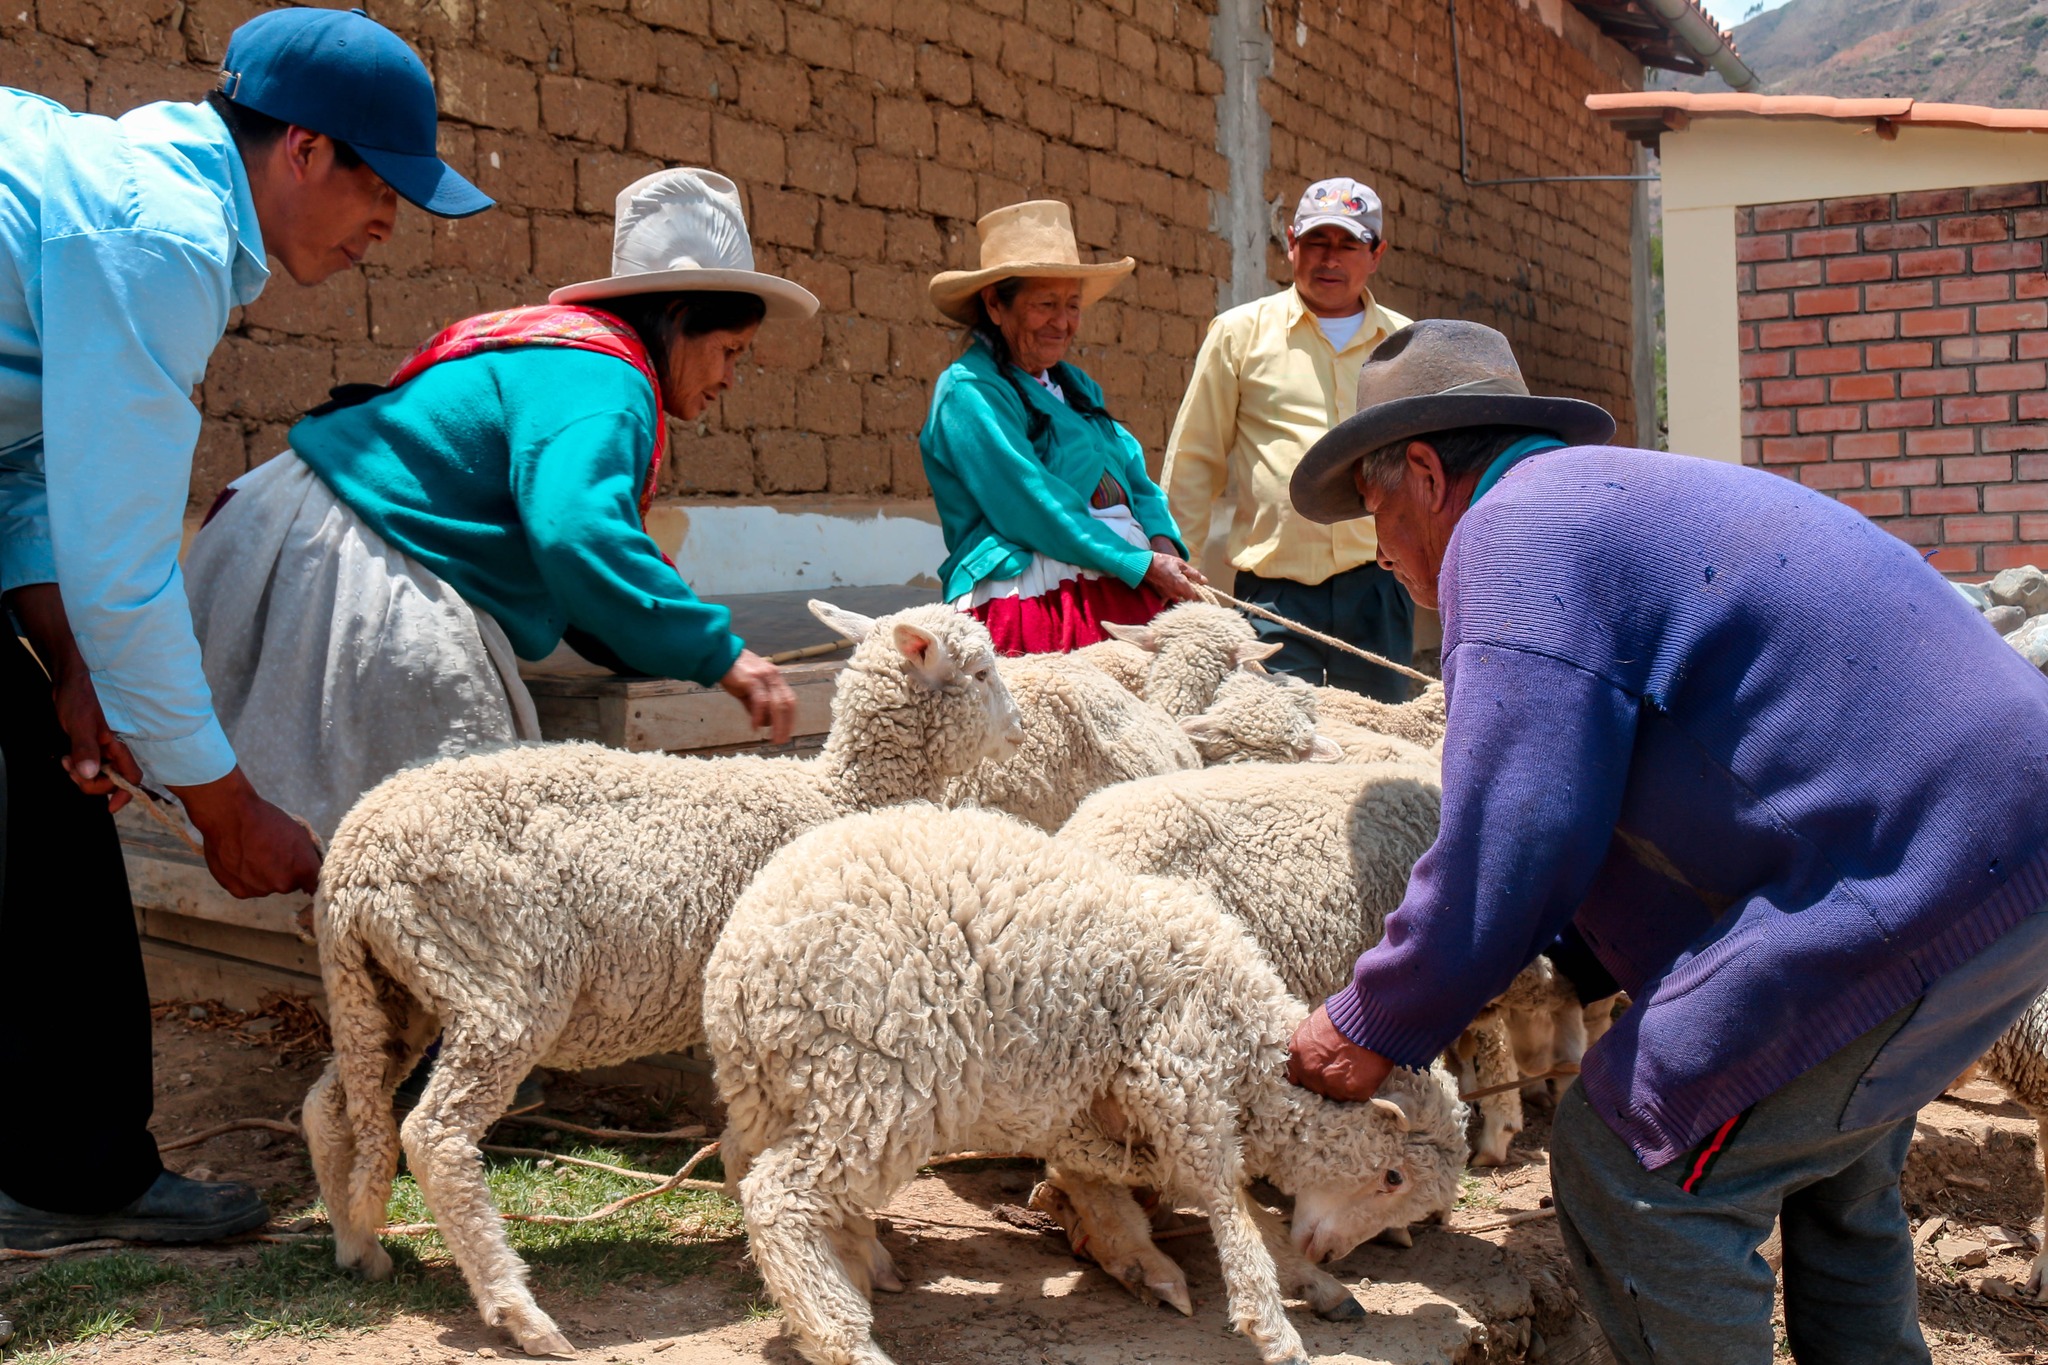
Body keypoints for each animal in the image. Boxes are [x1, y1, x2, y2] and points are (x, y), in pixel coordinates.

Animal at [299, 605, 1024, 1358]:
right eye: (980, 672)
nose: (1021, 726)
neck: (840, 796)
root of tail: (352, 860)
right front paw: (862, 1256)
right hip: (500, 981)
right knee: (434, 1135)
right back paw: (519, 1309)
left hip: (390, 988)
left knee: (330, 1107)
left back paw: (359, 1246)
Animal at [704, 806, 1474, 1365]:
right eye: (1393, 1176)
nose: (1331, 1251)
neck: (1252, 1047)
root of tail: (739, 961)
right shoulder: (1181, 1078)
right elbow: (1230, 1205)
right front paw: (1275, 1326)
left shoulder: (1104, 1104)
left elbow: (1205, 1199)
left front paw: (1308, 1280)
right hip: (876, 1079)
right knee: (778, 1198)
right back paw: (846, 1338)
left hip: (784, 1087)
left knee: (743, 1161)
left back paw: (855, 1259)